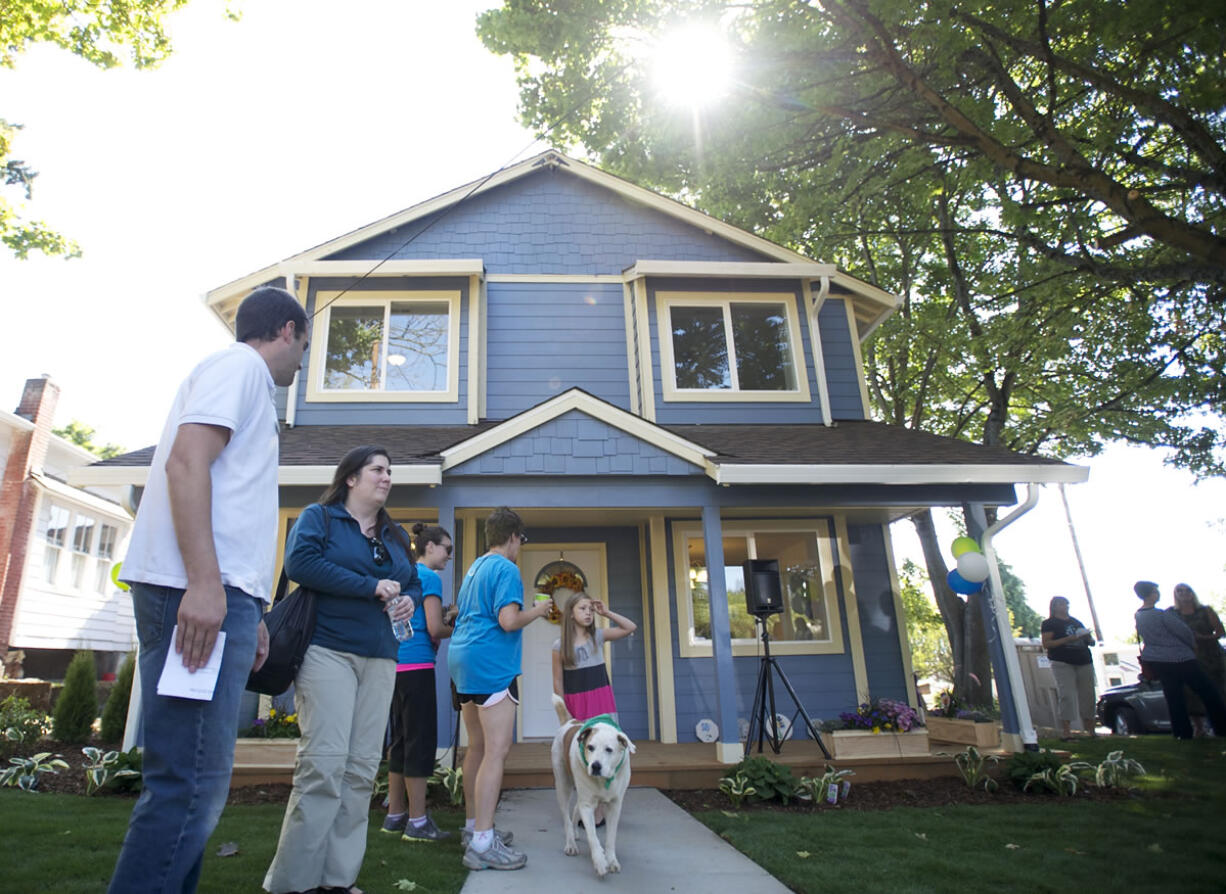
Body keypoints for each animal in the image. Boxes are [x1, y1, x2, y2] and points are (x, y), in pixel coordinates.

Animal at [551, 691, 637, 873]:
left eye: (609, 750)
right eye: (590, 747)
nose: (595, 766)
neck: (604, 780)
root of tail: (570, 721)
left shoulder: (614, 805)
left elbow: (611, 837)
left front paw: (611, 860)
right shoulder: (587, 804)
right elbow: (592, 836)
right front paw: (599, 861)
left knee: (575, 809)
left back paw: (576, 833)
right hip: (563, 785)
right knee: (566, 817)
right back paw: (571, 843)